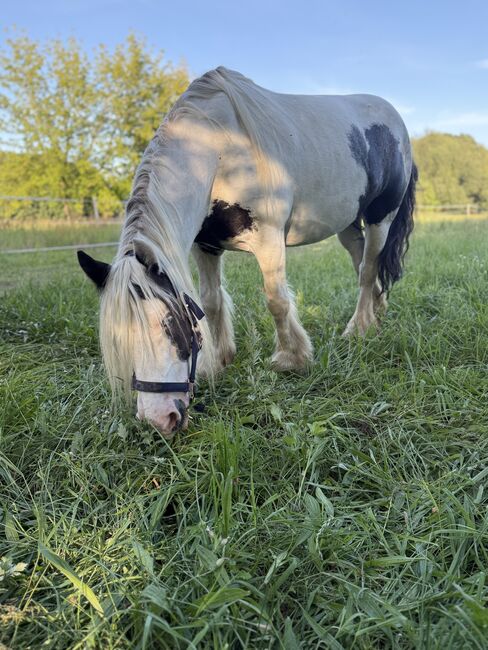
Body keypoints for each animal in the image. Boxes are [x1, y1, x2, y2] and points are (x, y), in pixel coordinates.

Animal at [78, 67, 417, 436]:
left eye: (168, 324)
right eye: (118, 341)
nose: (158, 419)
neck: (218, 151)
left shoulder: (268, 239)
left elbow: (276, 300)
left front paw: (292, 359)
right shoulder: (205, 246)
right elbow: (211, 301)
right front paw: (220, 360)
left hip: (380, 217)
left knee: (368, 270)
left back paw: (358, 329)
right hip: (348, 225)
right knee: (364, 266)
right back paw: (376, 315)